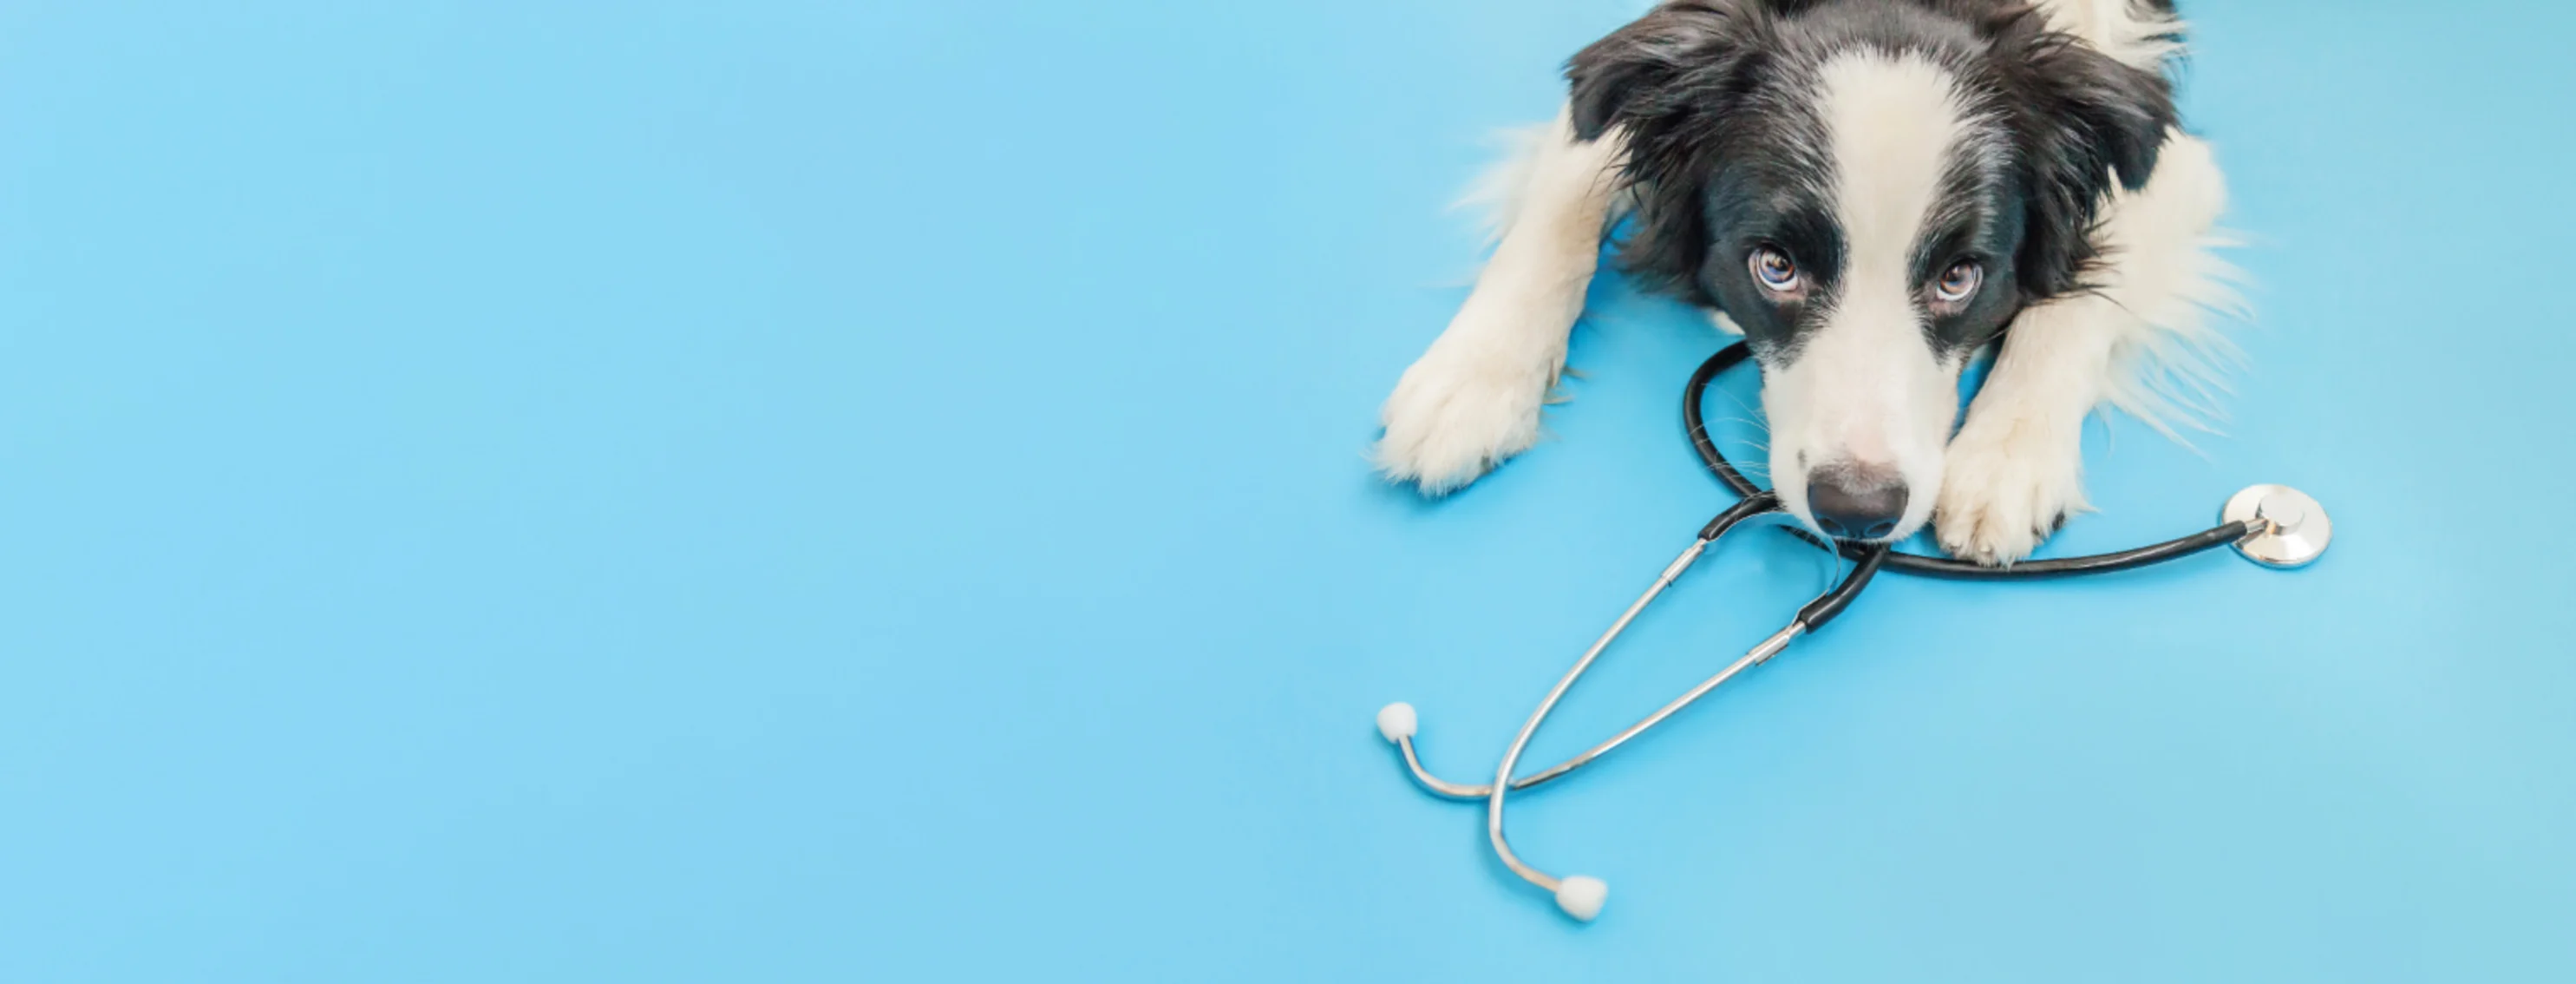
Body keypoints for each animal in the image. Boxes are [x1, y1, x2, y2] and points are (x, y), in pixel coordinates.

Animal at [1380, 0, 2246, 564]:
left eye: (1960, 277)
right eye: (1776, 267)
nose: (1857, 513)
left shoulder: (2169, 158)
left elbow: (2077, 303)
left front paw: (2006, 460)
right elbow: (1563, 196)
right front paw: (1471, 381)